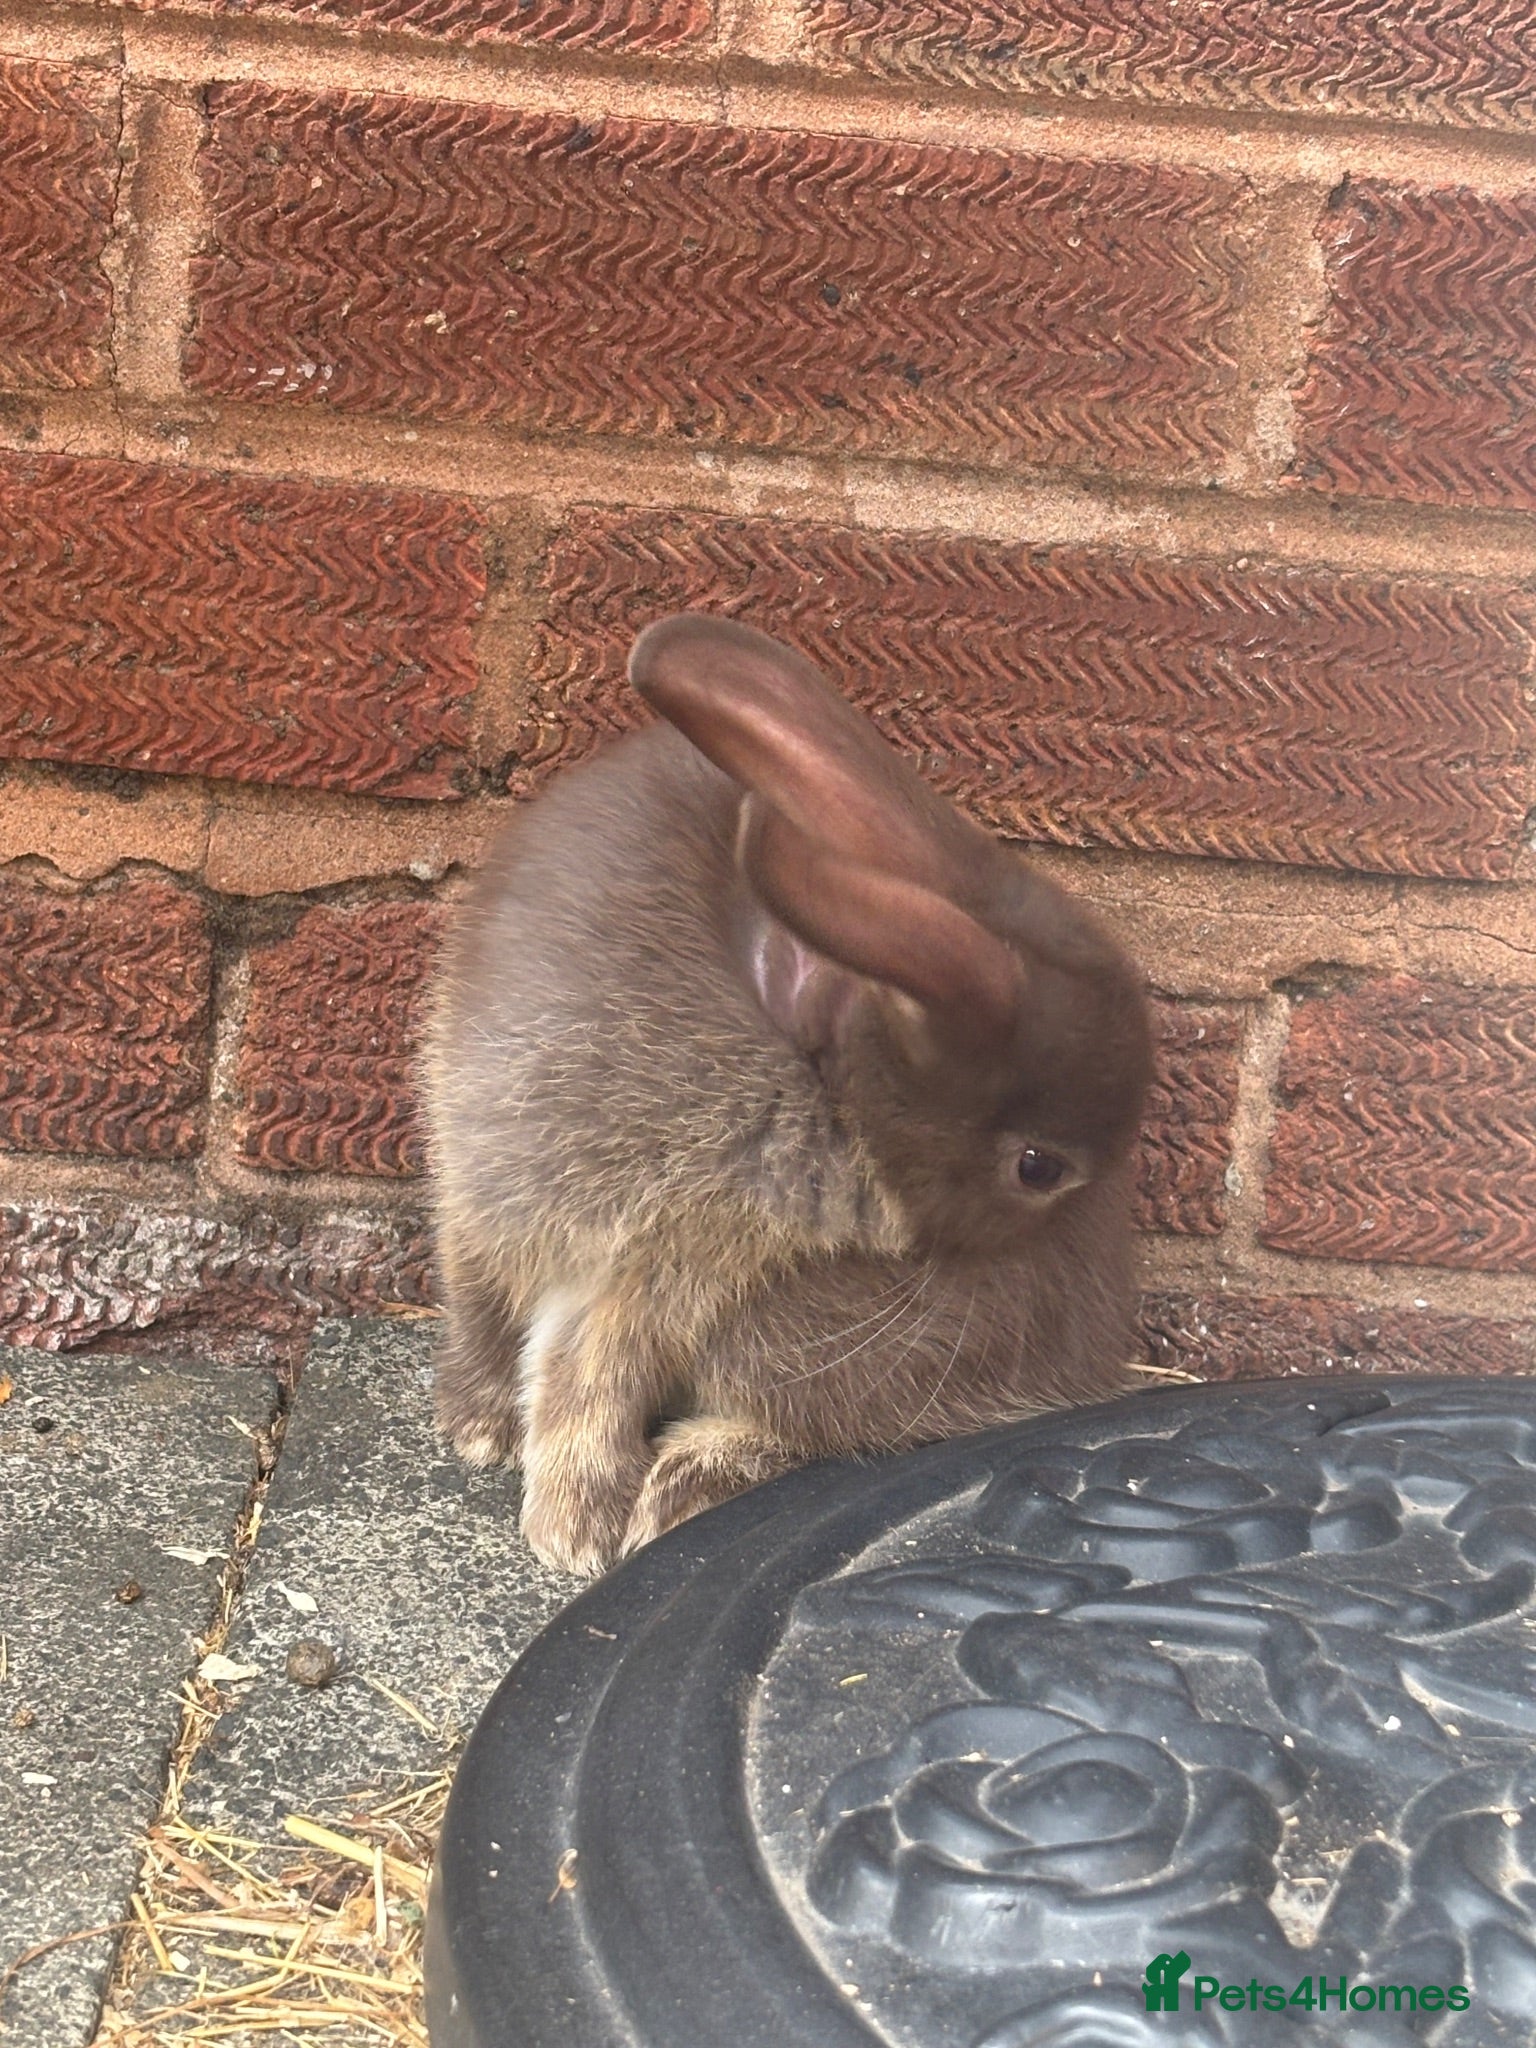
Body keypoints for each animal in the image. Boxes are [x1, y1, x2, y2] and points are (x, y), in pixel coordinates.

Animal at [422, 614, 1154, 1576]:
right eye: (1039, 1167)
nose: (1087, 1258)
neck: (802, 1061)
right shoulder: (627, 1240)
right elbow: (573, 1365)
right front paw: (568, 1524)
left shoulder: (664, 1261)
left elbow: (586, 1368)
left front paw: (576, 1524)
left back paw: (668, 1483)